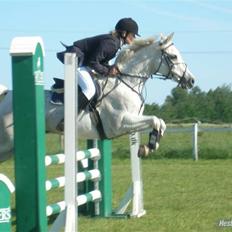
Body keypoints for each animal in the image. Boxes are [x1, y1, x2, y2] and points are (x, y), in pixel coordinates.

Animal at [0, 33, 196, 161]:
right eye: (173, 56)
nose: (191, 80)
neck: (127, 82)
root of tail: (5, 96)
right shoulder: (120, 123)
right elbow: (155, 120)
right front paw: (149, 146)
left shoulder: (134, 119)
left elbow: (160, 122)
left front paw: (148, 147)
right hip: (8, 143)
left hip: (11, 148)